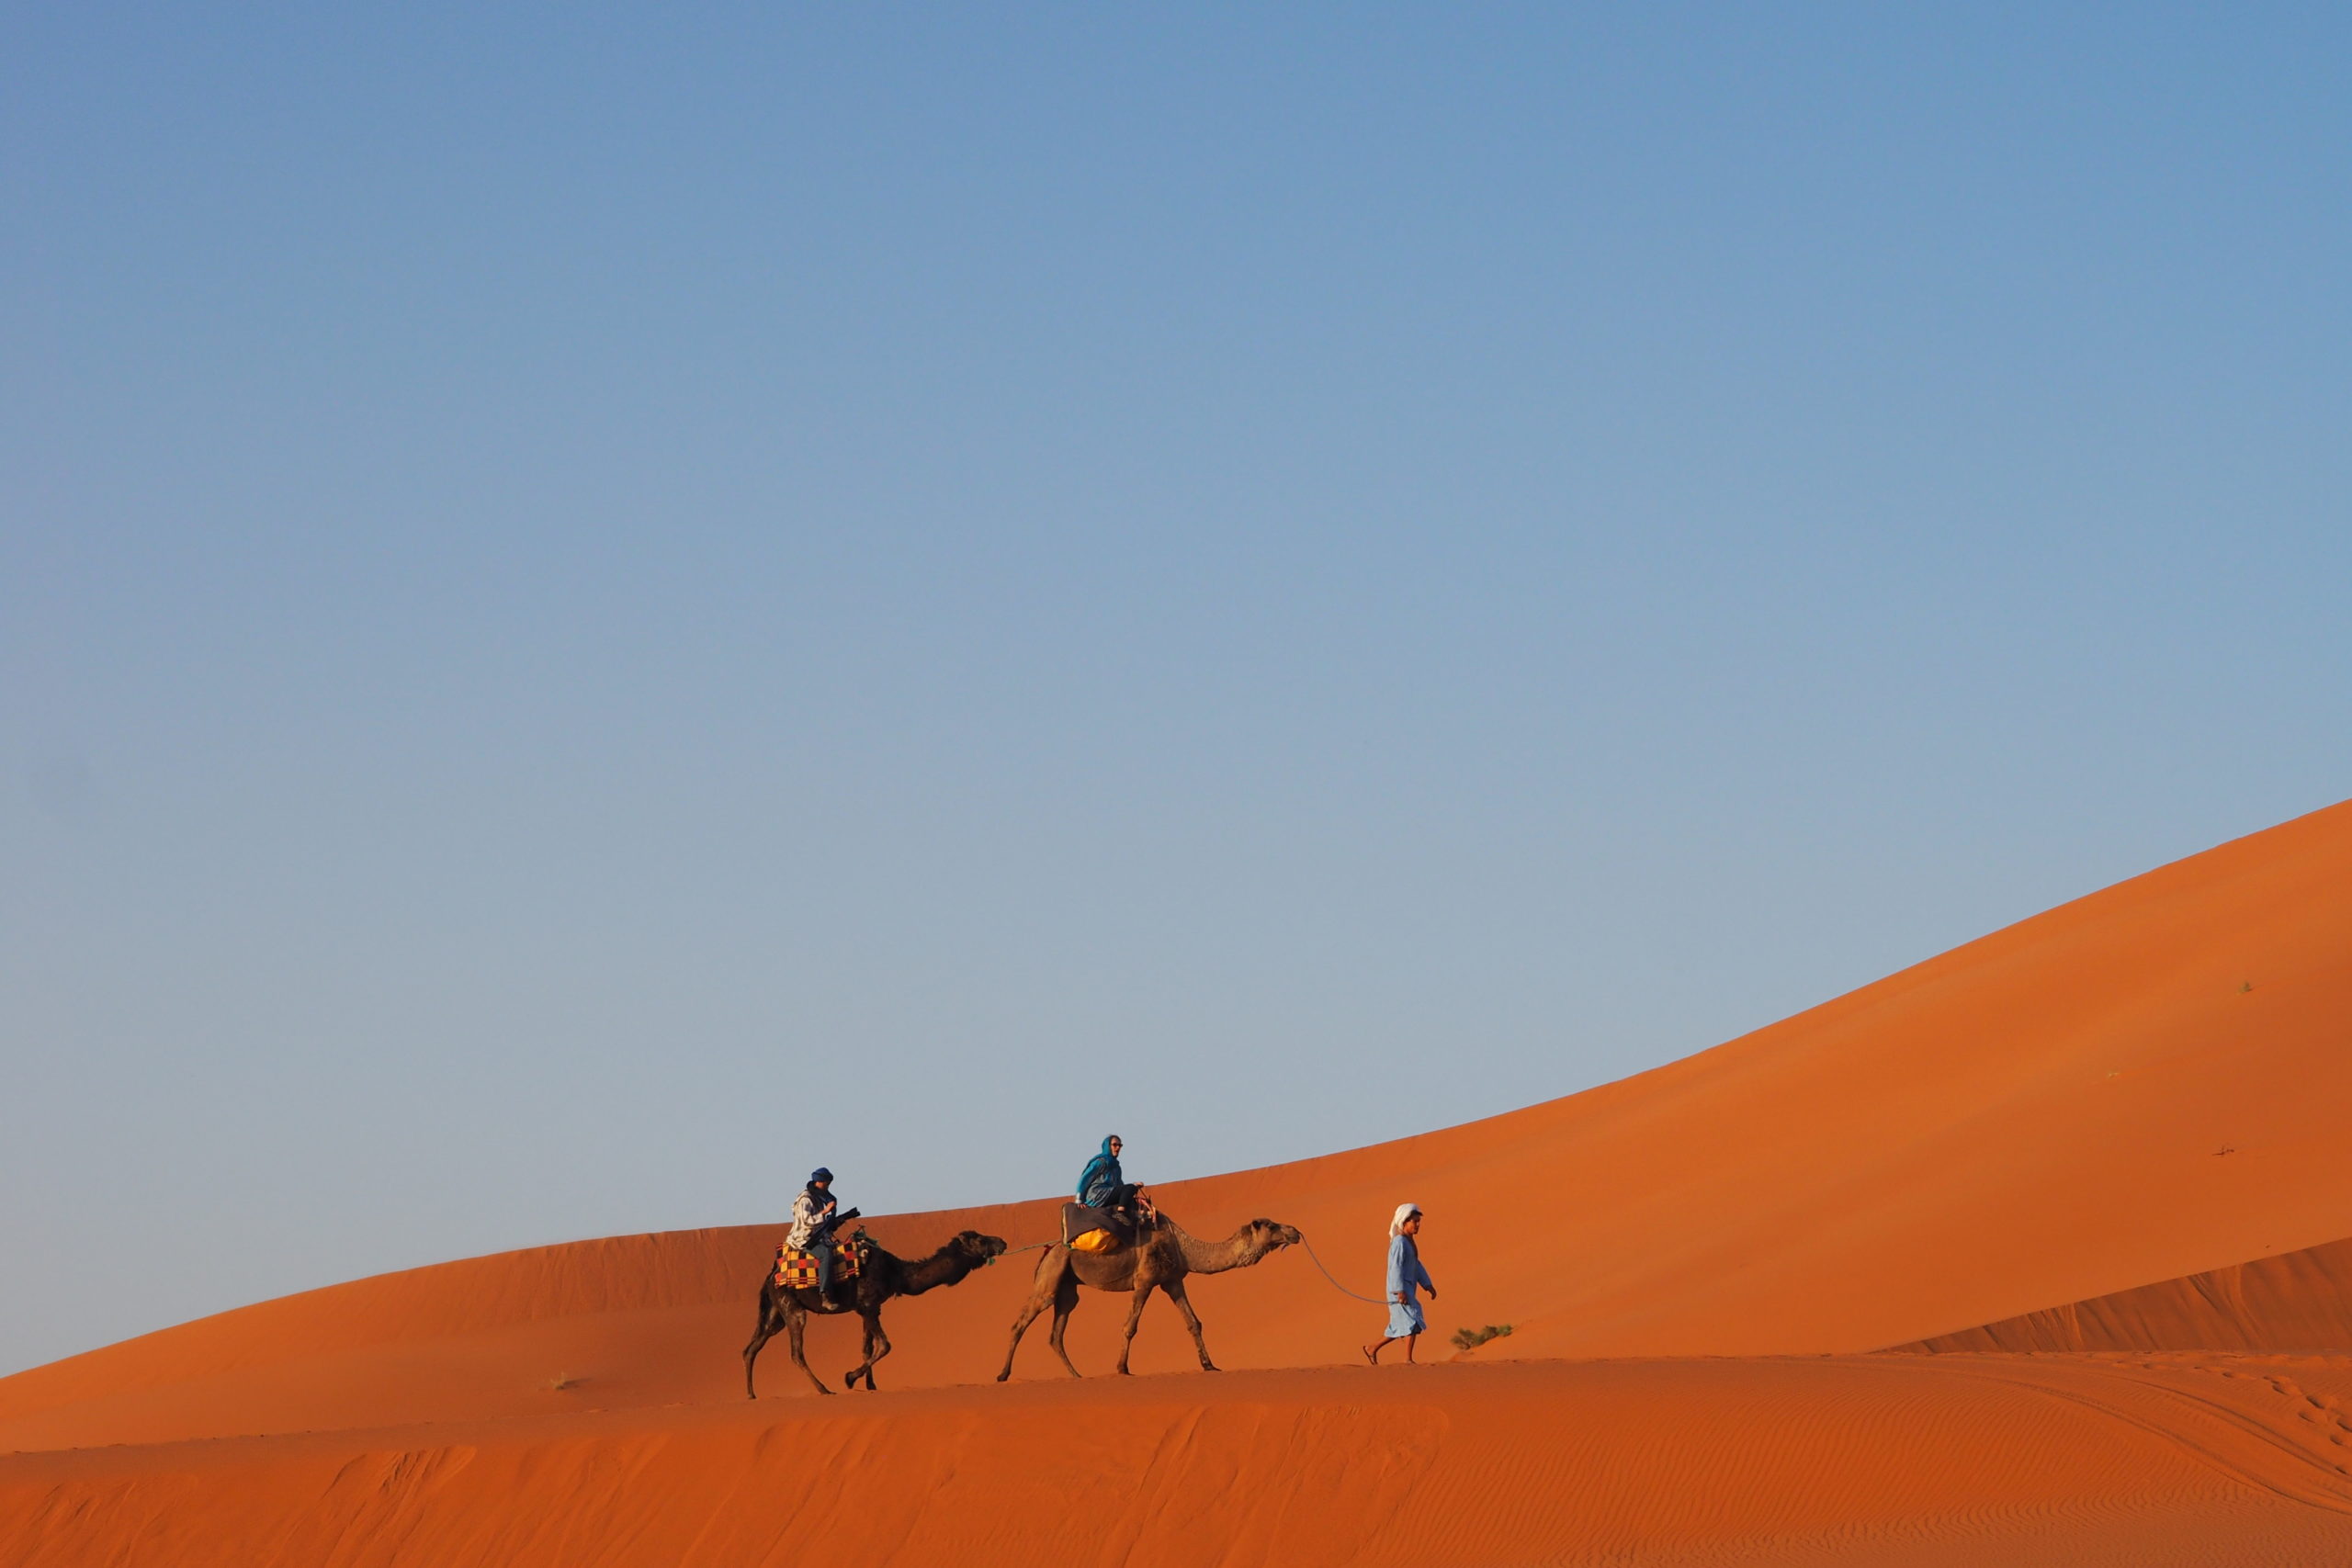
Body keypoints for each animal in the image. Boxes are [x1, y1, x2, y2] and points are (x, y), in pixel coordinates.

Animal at [742, 1222, 1011, 1401]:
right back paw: (824, 1389)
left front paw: (870, 1385)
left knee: (752, 1348)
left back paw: (751, 1394)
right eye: (979, 1240)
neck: (896, 1272)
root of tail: (771, 1276)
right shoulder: (868, 1305)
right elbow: (885, 1346)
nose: (1002, 1241)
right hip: (792, 1307)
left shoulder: (869, 1308)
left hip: (775, 1313)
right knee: (796, 1352)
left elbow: (867, 1347)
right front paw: (850, 1378)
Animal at [992, 1222, 1307, 1382]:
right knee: (1021, 1322)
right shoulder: (1144, 1281)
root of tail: (1047, 1250)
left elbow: (1194, 1322)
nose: (1295, 1231)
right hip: (1050, 1278)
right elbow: (1130, 1326)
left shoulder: (1173, 1281)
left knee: (1056, 1332)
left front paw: (1209, 1365)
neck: (1183, 1247)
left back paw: (1077, 1375)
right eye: (1271, 1226)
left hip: (1067, 1287)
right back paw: (1003, 1374)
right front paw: (1122, 1368)